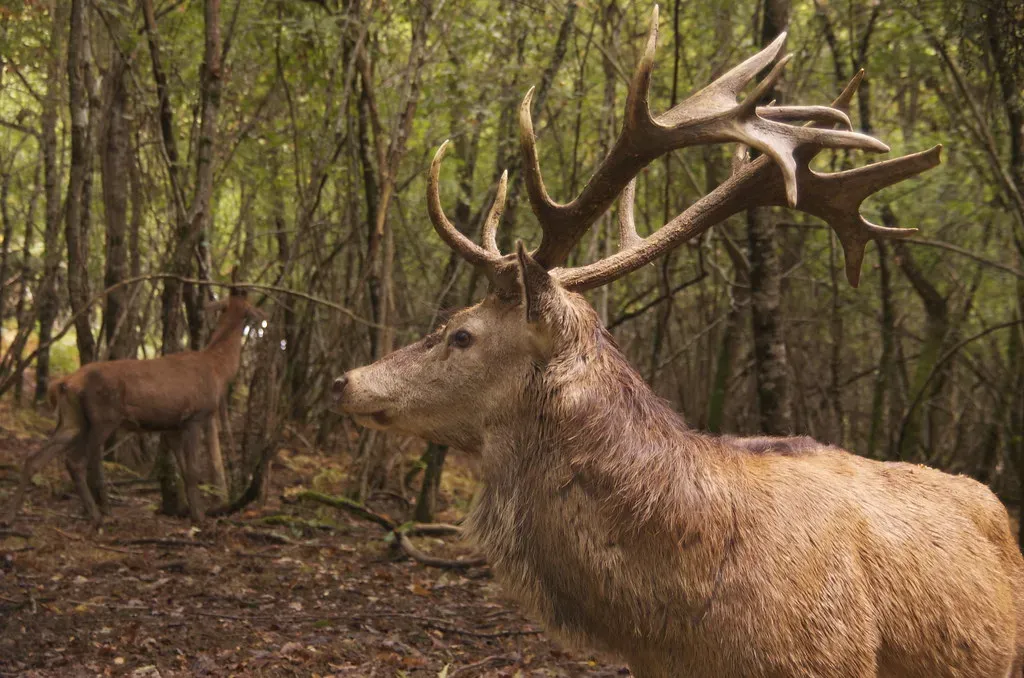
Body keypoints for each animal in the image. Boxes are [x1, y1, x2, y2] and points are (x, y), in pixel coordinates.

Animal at [2, 287, 264, 528]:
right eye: (250, 307)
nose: (260, 317)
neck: (218, 369)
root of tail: (64, 384)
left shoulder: (172, 426)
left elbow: (182, 469)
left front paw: (191, 512)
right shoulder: (195, 416)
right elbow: (192, 471)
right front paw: (199, 518)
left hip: (72, 419)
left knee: (34, 458)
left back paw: (10, 516)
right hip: (103, 417)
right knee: (76, 461)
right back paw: (97, 517)